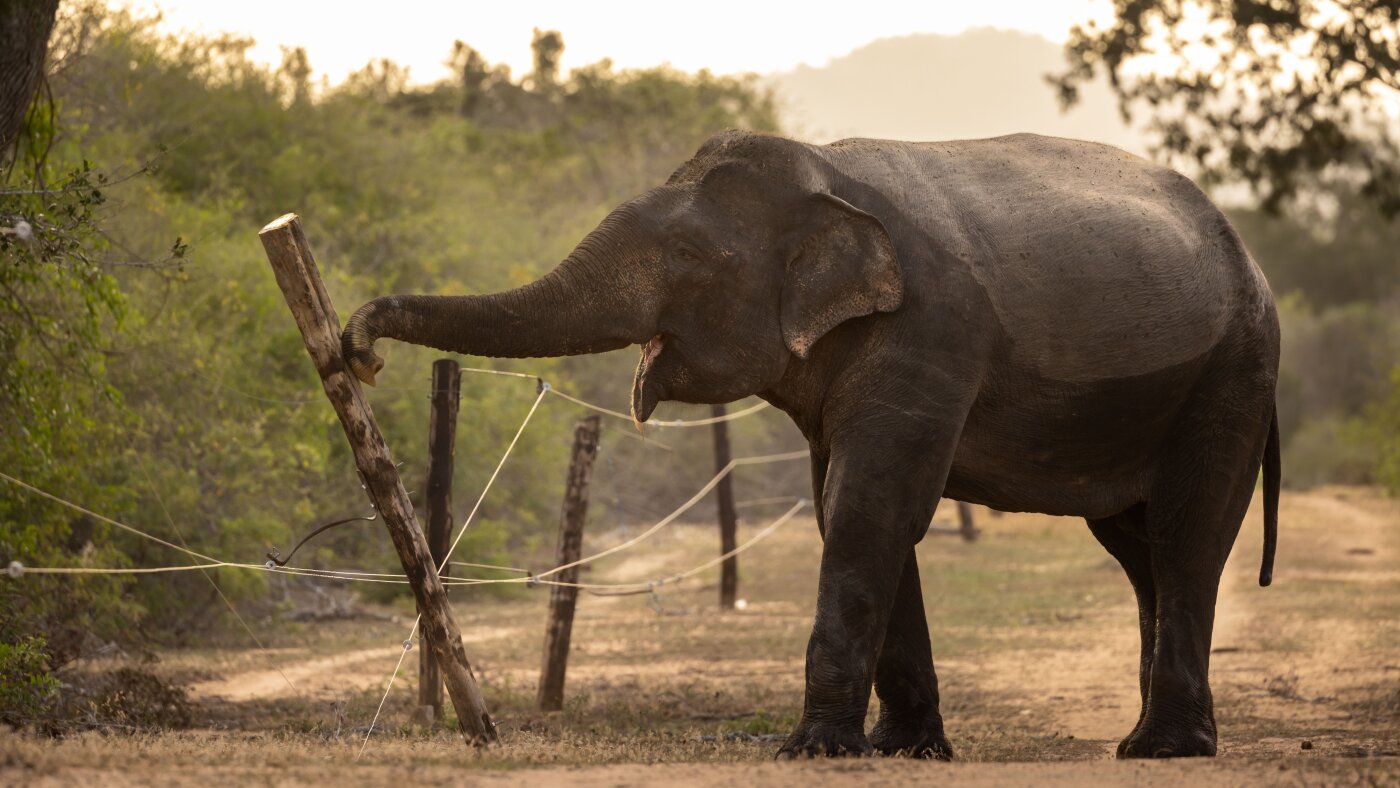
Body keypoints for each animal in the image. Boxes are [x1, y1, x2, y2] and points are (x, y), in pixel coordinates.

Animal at [342, 130, 1281, 760]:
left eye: (684, 253)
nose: (360, 349)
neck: (828, 176)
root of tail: (1250, 259)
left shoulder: (930, 332)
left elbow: (872, 505)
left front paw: (815, 749)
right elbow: (848, 509)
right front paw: (905, 751)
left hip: (1233, 375)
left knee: (1185, 535)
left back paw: (1163, 749)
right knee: (1136, 549)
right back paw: (1151, 736)